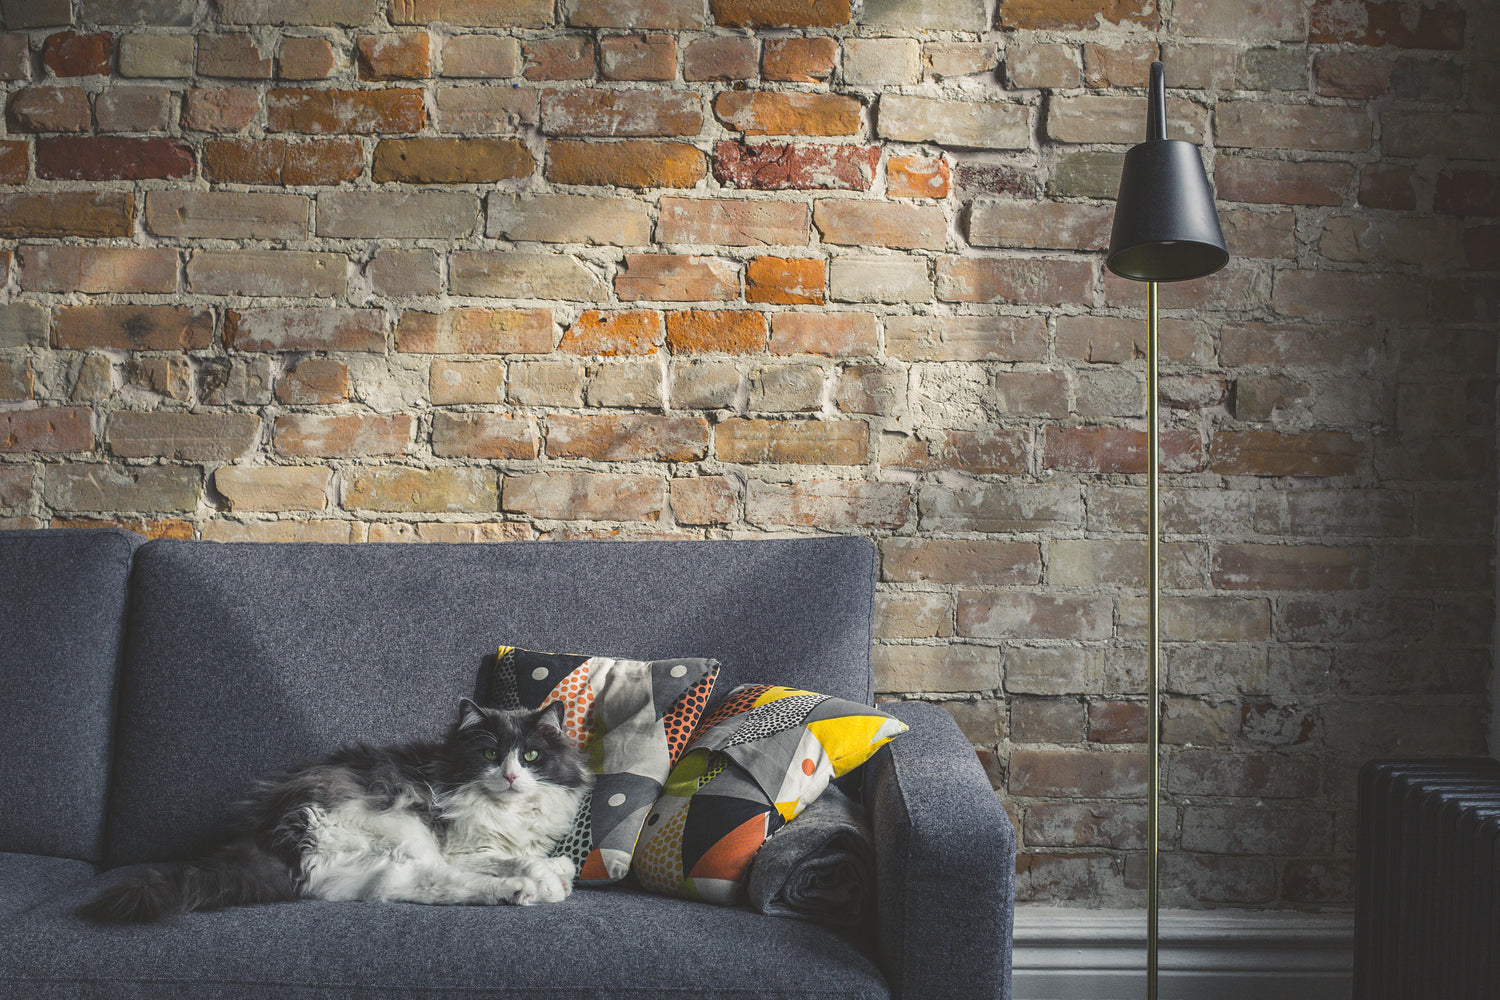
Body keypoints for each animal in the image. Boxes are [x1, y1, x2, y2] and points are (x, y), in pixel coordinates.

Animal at [79, 695, 588, 923]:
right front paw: (549, 878)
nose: (510, 776)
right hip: (398, 830)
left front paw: (558, 871)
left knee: (402, 888)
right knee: (428, 883)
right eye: (489, 755)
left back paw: (522, 891)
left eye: (531, 757)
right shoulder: (465, 846)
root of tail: (275, 835)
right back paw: (524, 891)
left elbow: (532, 854)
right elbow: (515, 858)